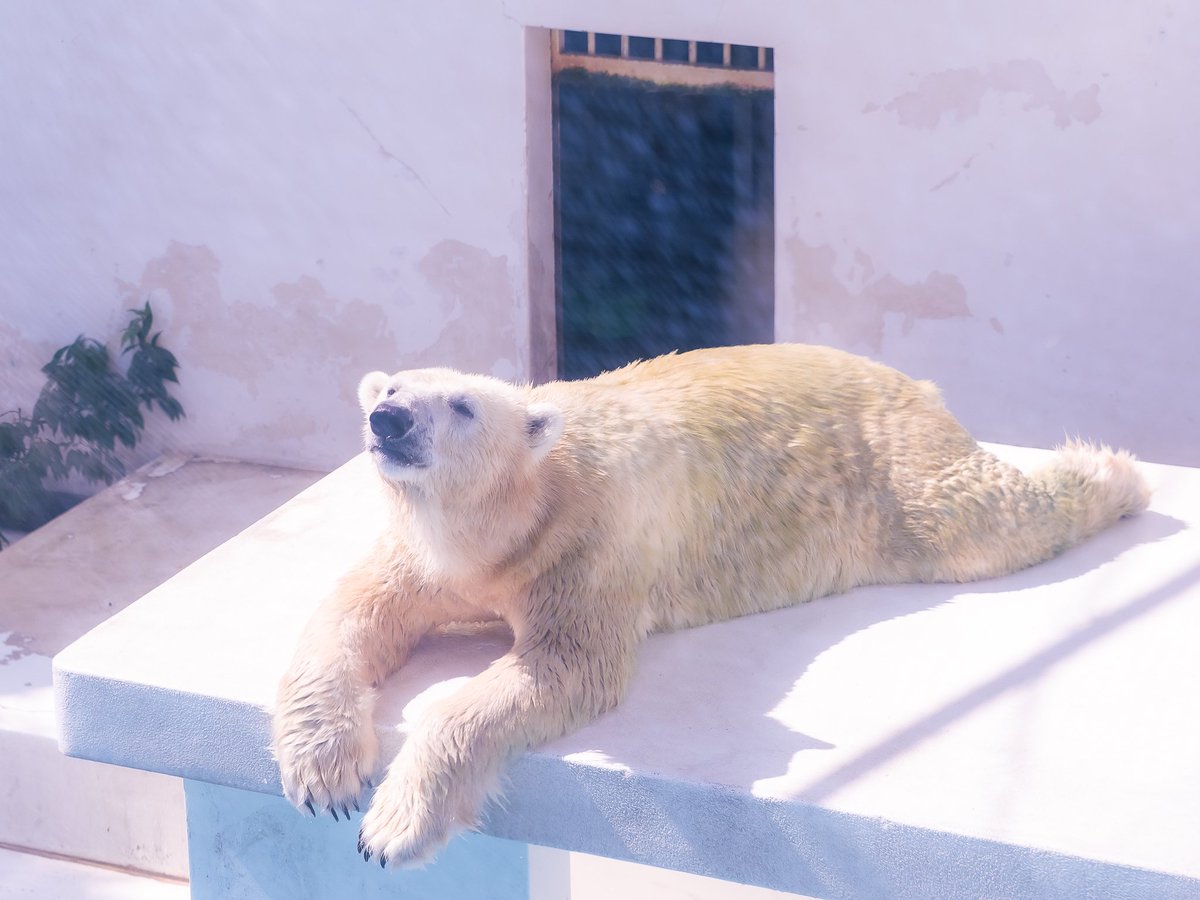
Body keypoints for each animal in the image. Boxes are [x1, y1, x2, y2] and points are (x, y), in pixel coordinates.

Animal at [272, 342, 1149, 867]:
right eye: (391, 386)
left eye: (461, 404)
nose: (387, 418)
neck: (510, 514)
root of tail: (911, 381)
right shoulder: (419, 554)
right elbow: (350, 617)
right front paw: (322, 774)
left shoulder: (584, 548)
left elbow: (563, 666)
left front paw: (392, 827)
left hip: (899, 473)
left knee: (979, 517)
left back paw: (1114, 472)